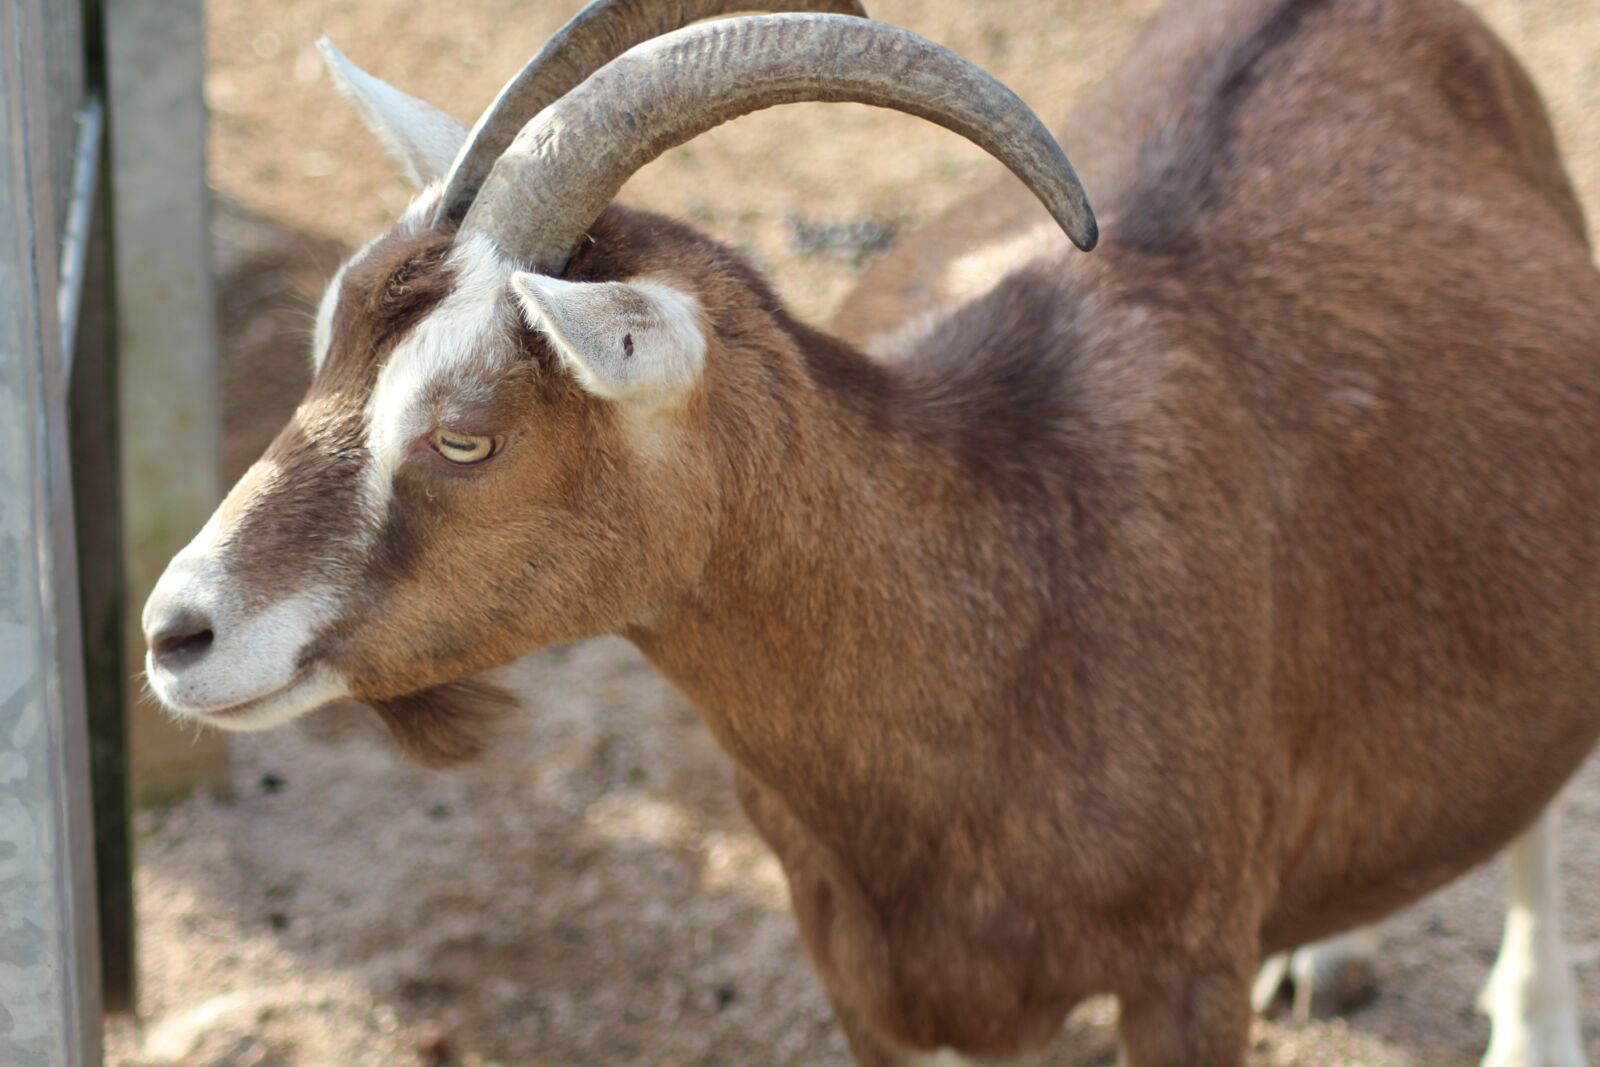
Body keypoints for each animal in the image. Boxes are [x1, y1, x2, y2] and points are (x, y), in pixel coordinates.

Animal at [142, 0, 1600, 1063]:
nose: (176, 630)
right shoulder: (863, 972)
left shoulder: (1183, 970)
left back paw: (1531, 1022)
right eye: (325, 352)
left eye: (465, 433)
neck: (1015, 594)